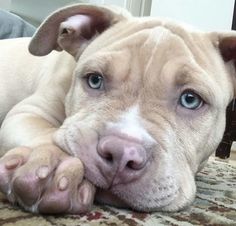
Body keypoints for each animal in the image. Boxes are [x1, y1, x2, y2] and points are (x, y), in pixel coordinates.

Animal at [0, 3, 235, 214]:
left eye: (190, 100)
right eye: (95, 80)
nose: (121, 154)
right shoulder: (29, 111)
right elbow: (47, 133)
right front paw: (53, 165)